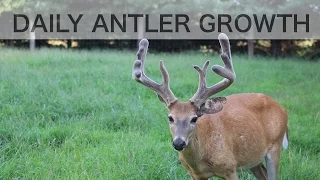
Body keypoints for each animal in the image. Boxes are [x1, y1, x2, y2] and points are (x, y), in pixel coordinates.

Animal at [131, 33, 288, 179]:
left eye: (194, 118)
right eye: (170, 117)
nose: (179, 143)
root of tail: (282, 108)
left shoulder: (230, 167)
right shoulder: (196, 175)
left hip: (275, 146)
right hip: (254, 159)